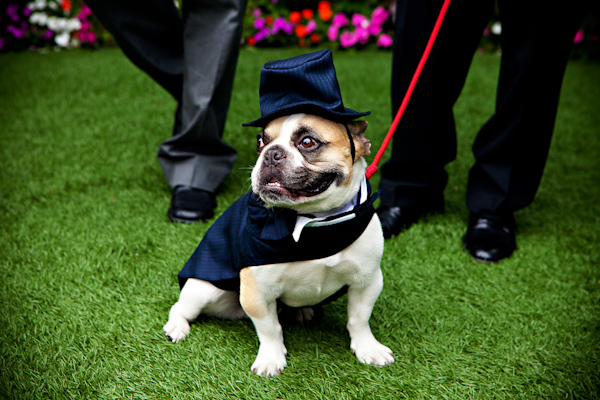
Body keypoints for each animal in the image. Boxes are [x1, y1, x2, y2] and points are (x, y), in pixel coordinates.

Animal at [162, 49, 394, 376]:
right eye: (261, 140)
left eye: (308, 142)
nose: (271, 153)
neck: (314, 221)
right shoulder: (256, 291)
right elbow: (270, 328)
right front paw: (271, 359)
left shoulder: (367, 279)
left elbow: (359, 319)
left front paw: (367, 348)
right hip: (204, 290)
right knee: (182, 306)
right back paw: (176, 327)